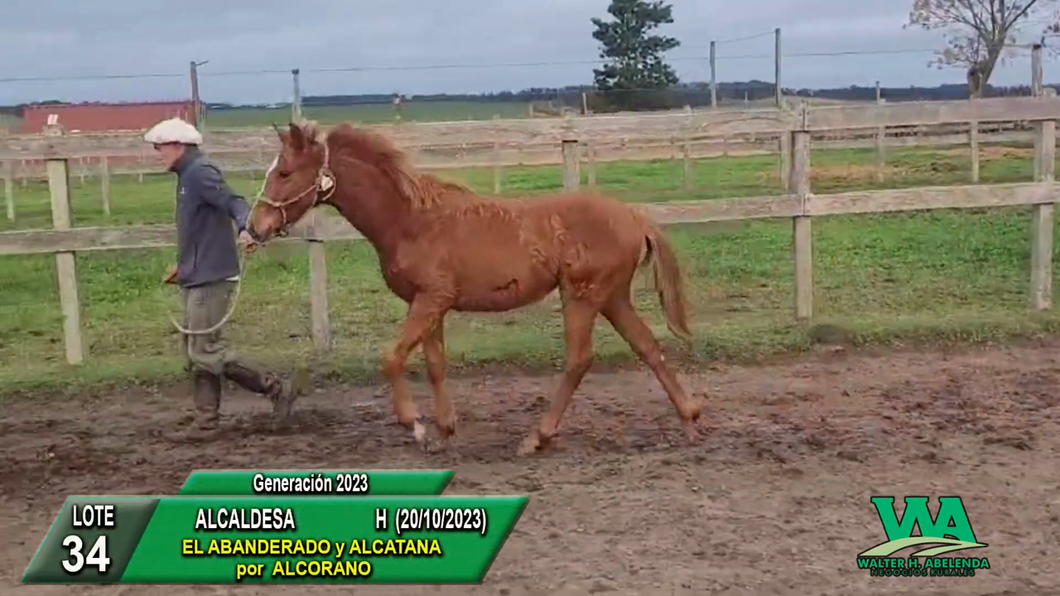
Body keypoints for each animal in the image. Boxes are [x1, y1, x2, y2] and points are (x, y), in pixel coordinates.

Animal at [246, 121, 703, 453]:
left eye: (284, 172)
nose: (255, 228)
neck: (410, 220)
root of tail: (635, 217)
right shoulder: (428, 304)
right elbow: (435, 364)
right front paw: (444, 429)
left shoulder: (432, 299)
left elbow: (392, 359)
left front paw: (416, 427)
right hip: (612, 296)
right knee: (647, 346)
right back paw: (690, 418)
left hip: (582, 295)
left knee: (580, 359)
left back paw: (537, 437)